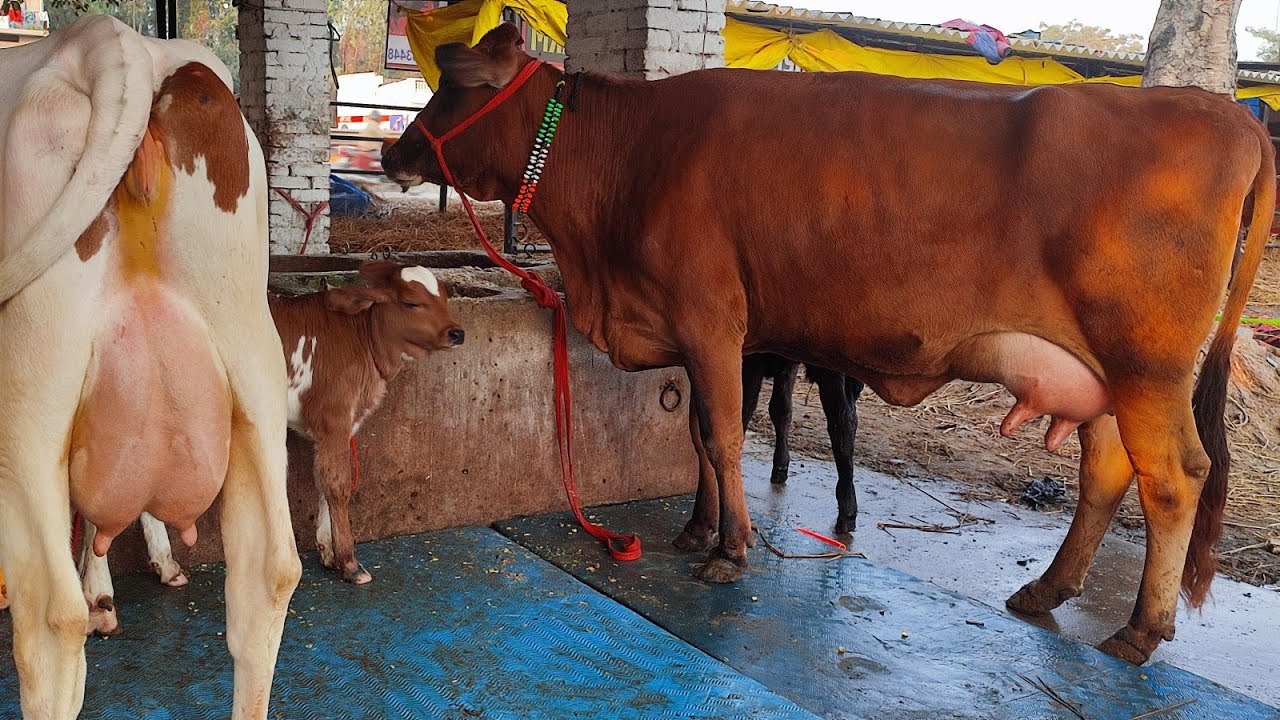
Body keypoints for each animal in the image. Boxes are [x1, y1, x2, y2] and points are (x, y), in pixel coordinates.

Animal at [740, 354, 865, 533]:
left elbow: (748, 407)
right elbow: (781, 409)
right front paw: (781, 467)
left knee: (841, 420)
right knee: (845, 421)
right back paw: (848, 511)